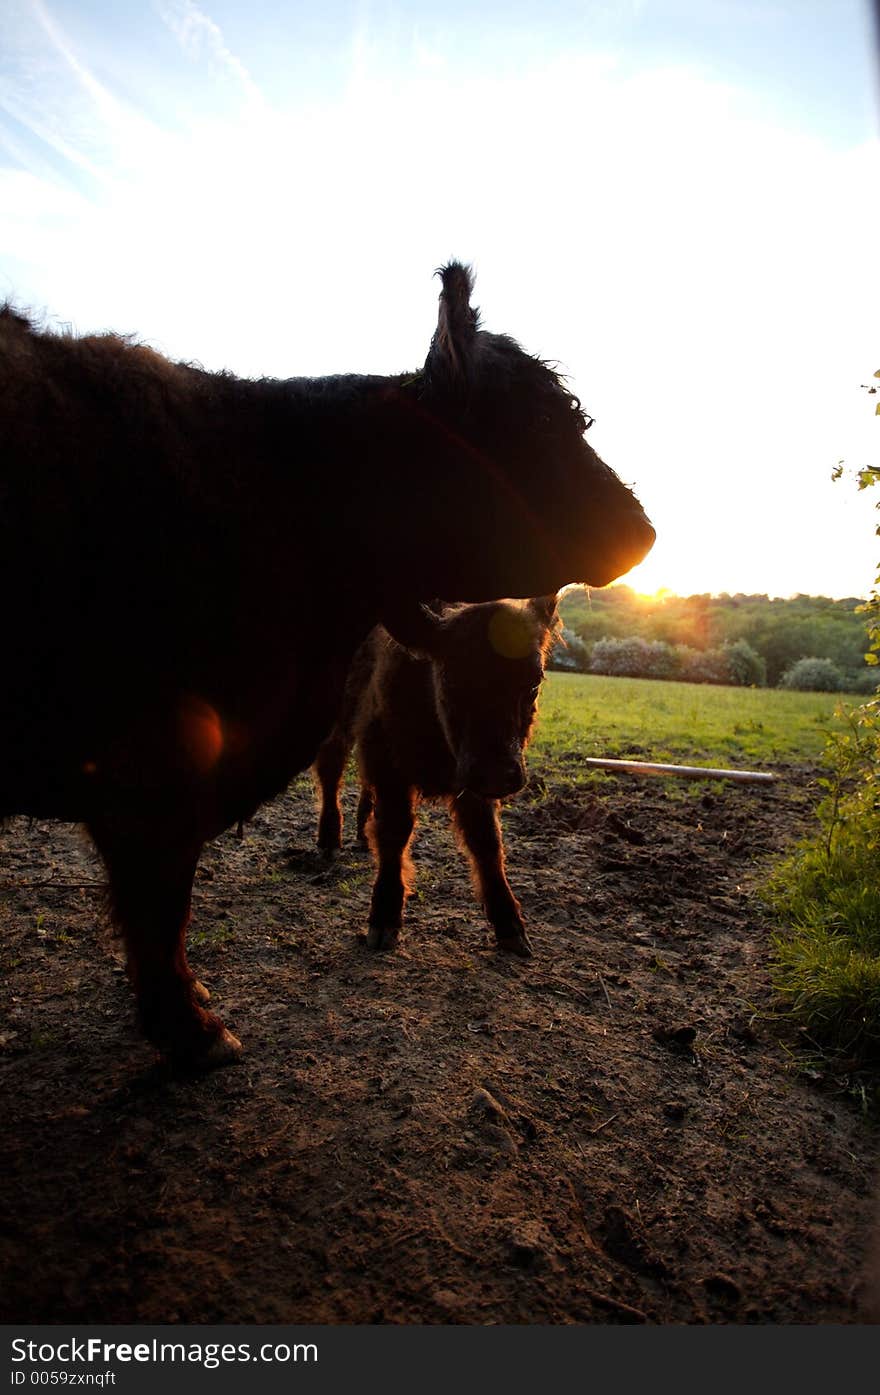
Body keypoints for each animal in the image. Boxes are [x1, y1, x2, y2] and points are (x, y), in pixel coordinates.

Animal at [313, 599, 557, 959]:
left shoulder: (472, 783)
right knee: (331, 770)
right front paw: (384, 918)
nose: (498, 773)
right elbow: (395, 831)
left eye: (533, 682)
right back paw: (329, 841)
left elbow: (487, 842)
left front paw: (510, 925)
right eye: (451, 679)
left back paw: (360, 834)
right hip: (340, 719)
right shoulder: (388, 757)